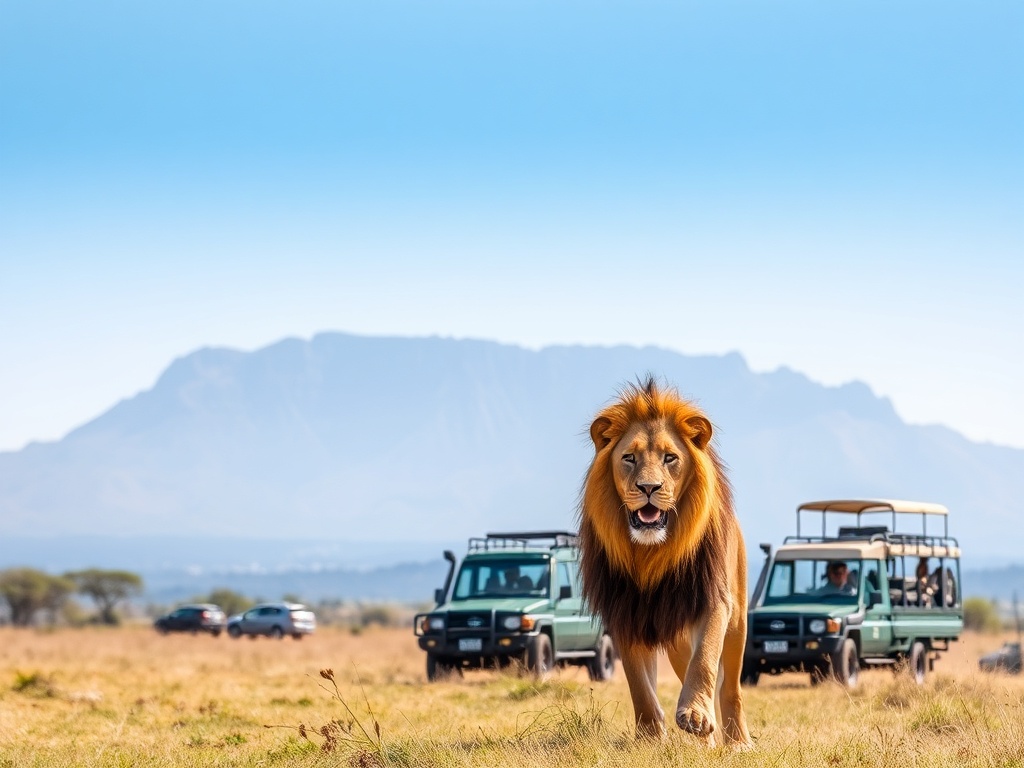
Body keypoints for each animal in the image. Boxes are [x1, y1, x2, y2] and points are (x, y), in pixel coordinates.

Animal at [578, 377, 751, 748]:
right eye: (629, 458)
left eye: (670, 458)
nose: (648, 487)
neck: (651, 554)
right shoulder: (626, 610)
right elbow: (639, 684)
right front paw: (651, 737)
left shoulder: (714, 600)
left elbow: (705, 659)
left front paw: (696, 715)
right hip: (675, 639)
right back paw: (707, 742)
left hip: (738, 622)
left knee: (730, 686)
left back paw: (737, 741)